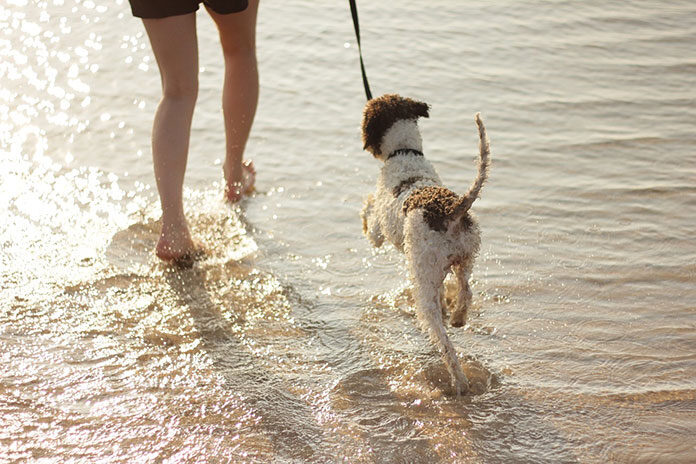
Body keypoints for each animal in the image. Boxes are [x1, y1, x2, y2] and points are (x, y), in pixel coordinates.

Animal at [358, 94, 490, 396]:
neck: (405, 153)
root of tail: (452, 210)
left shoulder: (380, 230)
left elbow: (371, 214)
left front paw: (363, 215)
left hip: (424, 278)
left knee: (443, 340)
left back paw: (459, 382)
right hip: (465, 256)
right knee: (466, 291)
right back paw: (457, 317)